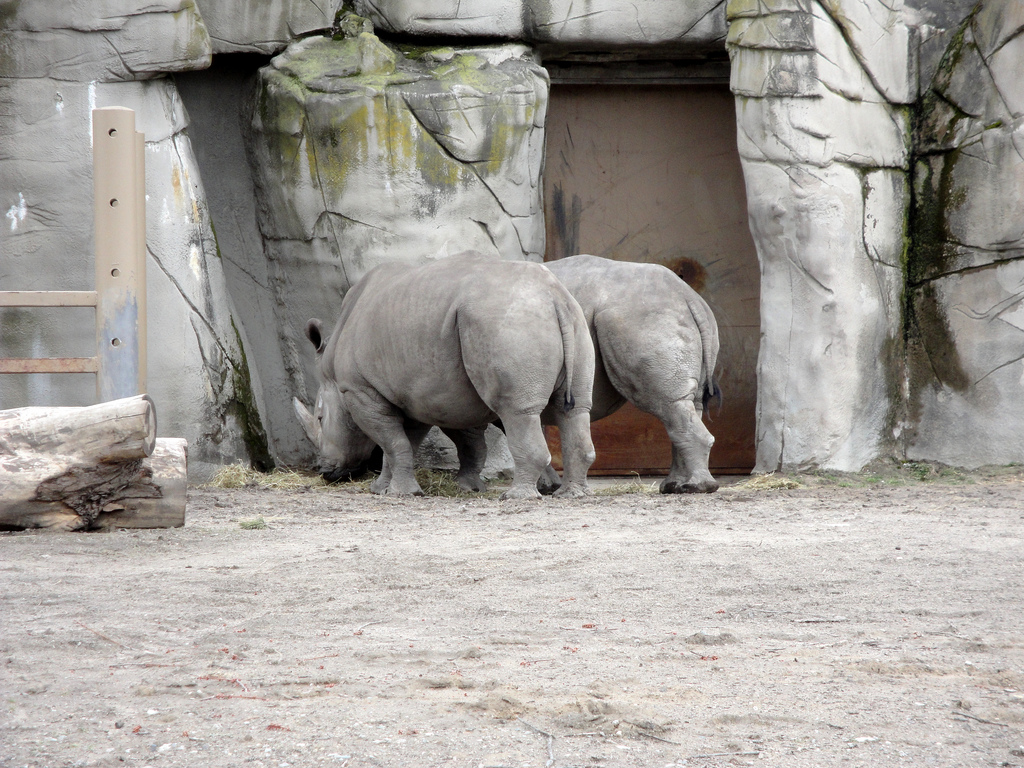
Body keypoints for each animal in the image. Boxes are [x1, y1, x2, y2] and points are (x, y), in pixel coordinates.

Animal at [293, 252, 596, 499]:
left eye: (320, 418)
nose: (322, 471)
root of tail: (552, 295)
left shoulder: (359, 390)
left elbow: (392, 441)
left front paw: (400, 493)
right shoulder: (413, 396)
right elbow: (404, 443)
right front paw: (384, 489)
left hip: (505, 322)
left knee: (516, 411)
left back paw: (517, 497)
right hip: (570, 318)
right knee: (574, 408)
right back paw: (572, 494)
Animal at [541, 255, 720, 494]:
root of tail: (690, 298)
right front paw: (547, 485)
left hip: (639, 321)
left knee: (667, 403)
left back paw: (696, 487)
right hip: (681, 320)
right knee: (687, 404)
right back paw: (676, 486)